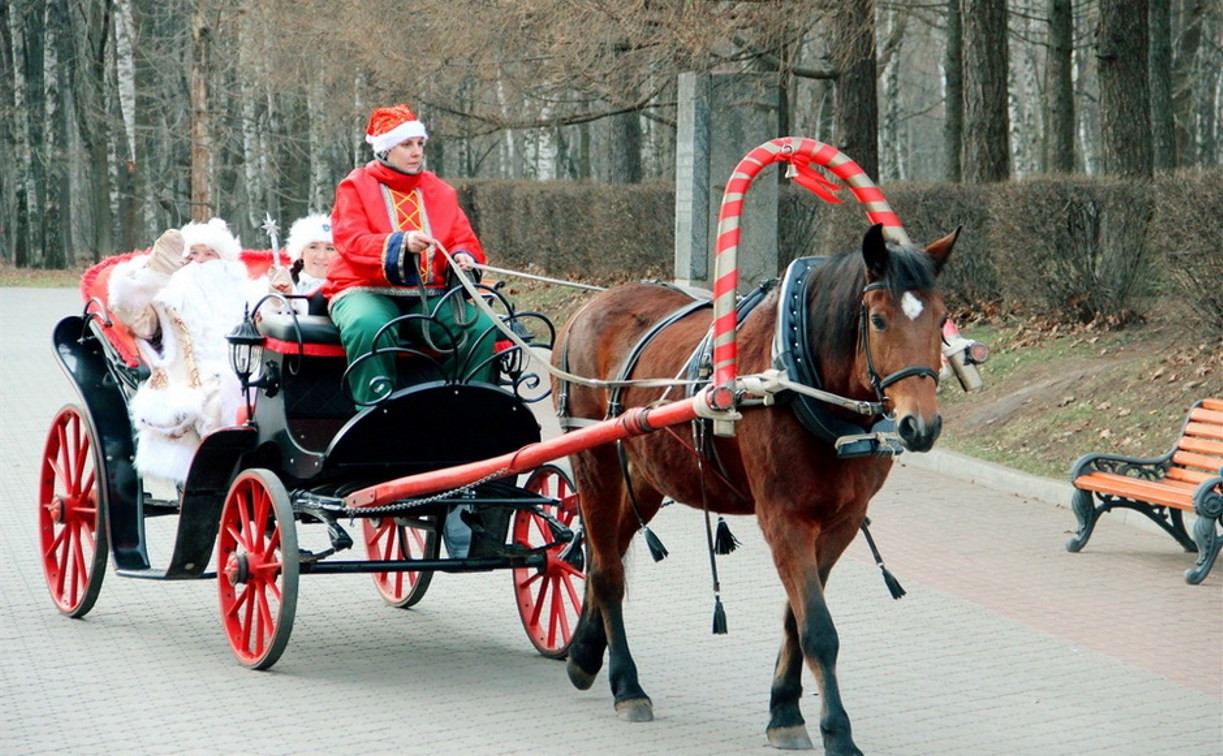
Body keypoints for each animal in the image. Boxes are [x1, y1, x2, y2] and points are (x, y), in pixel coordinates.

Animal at [550, 223, 958, 753]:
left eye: (942, 319)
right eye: (879, 319)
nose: (920, 426)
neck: (797, 379)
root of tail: (590, 306)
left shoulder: (840, 524)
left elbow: (796, 619)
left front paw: (784, 710)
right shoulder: (783, 519)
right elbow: (818, 629)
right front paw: (837, 732)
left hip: (646, 473)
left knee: (610, 551)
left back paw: (584, 651)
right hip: (593, 458)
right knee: (605, 570)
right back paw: (626, 683)